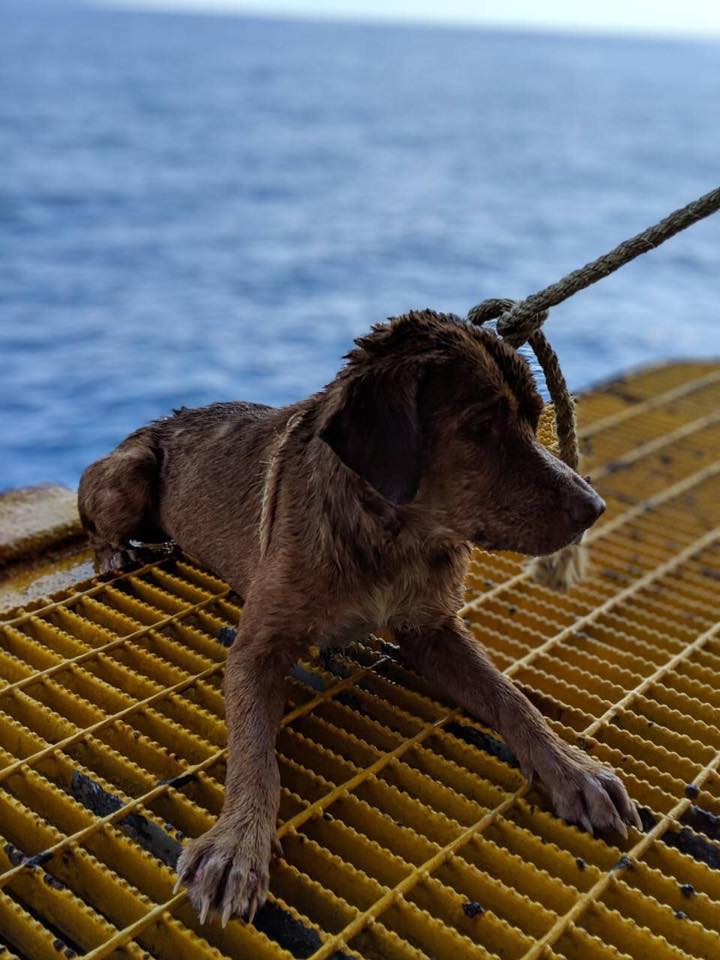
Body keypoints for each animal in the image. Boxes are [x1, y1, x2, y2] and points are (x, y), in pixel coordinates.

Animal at [79, 312, 640, 928]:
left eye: (534, 415)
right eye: (481, 426)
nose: (594, 509)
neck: (393, 535)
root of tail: (161, 420)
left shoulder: (432, 630)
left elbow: (511, 698)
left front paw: (572, 768)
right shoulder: (256, 649)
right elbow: (254, 752)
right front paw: (237, 844)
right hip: (129, 476)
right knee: (98, 527)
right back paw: (115, 555)